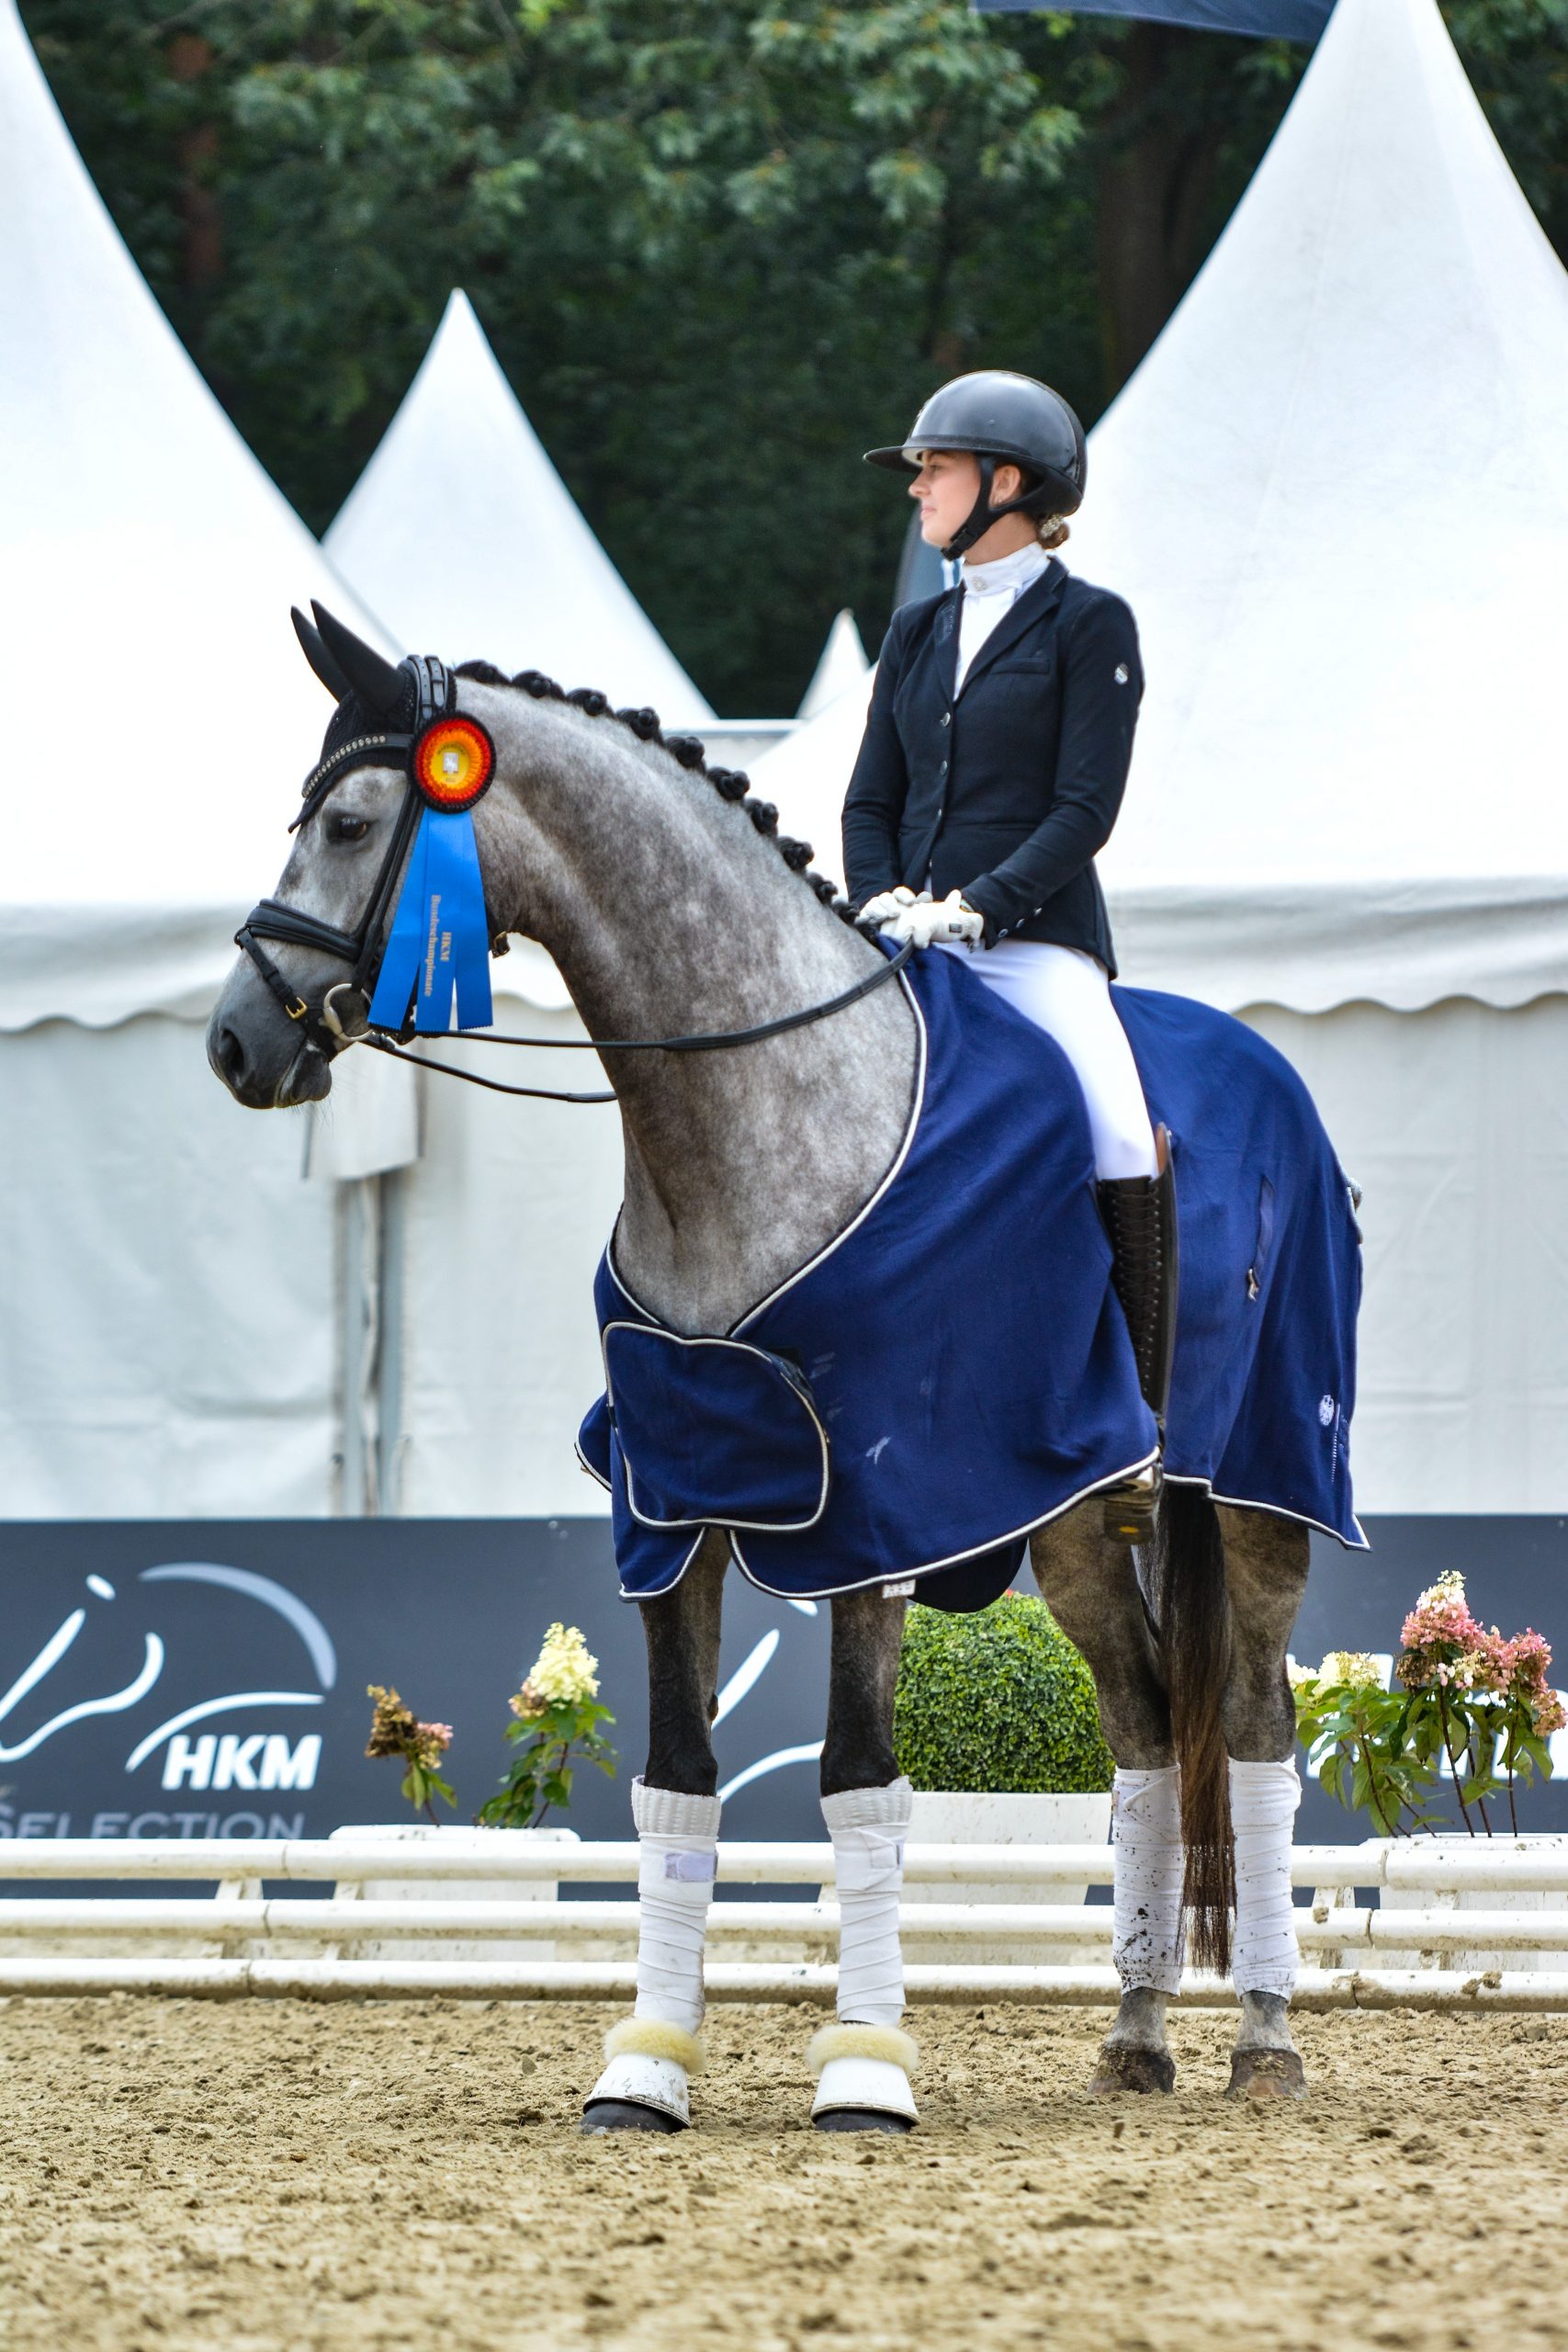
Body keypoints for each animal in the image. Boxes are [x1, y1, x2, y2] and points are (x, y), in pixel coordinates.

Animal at [209, 605, 1361, 2133]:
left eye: (345, 822)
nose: (237, 1041)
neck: (741, 1120)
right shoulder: (669, 1505)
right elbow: (677, 1784)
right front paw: (644, 2066)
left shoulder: (879, 1507)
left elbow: (859, 1780)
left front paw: (864, 2072)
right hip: (1068, 1522)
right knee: (1138, 1728)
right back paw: (1133, 2031)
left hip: (1257, 1491)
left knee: (1247, 1729)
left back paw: (1264, 2038)